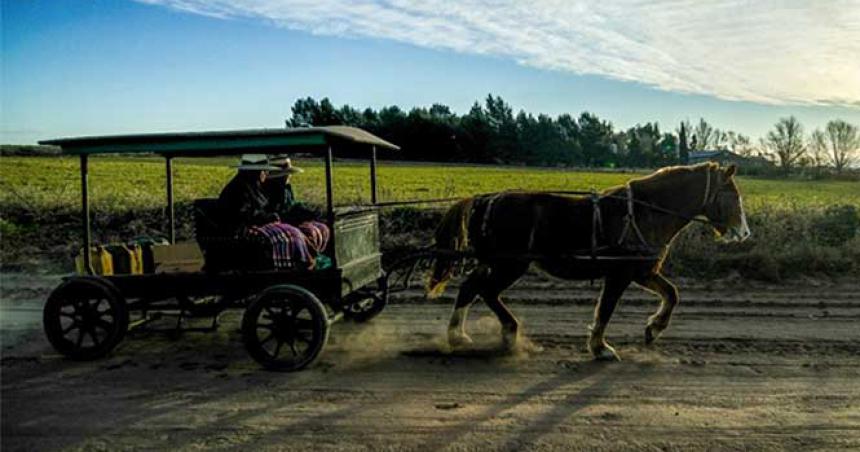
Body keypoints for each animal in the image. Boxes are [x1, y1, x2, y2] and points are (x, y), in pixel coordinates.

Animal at [426, 162, 748, 360]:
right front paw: (600, 348)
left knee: (471, 288)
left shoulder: (642, 271)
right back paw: (502, 332)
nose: (744, 233)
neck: (643, 212)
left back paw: (462, 335)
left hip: (497, 263)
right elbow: (605, 309)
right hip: (510, 264)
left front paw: (654, 328)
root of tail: (484, 199)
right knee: (485, 290)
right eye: (733, 195)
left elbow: (672, 294)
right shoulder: (619, 275)